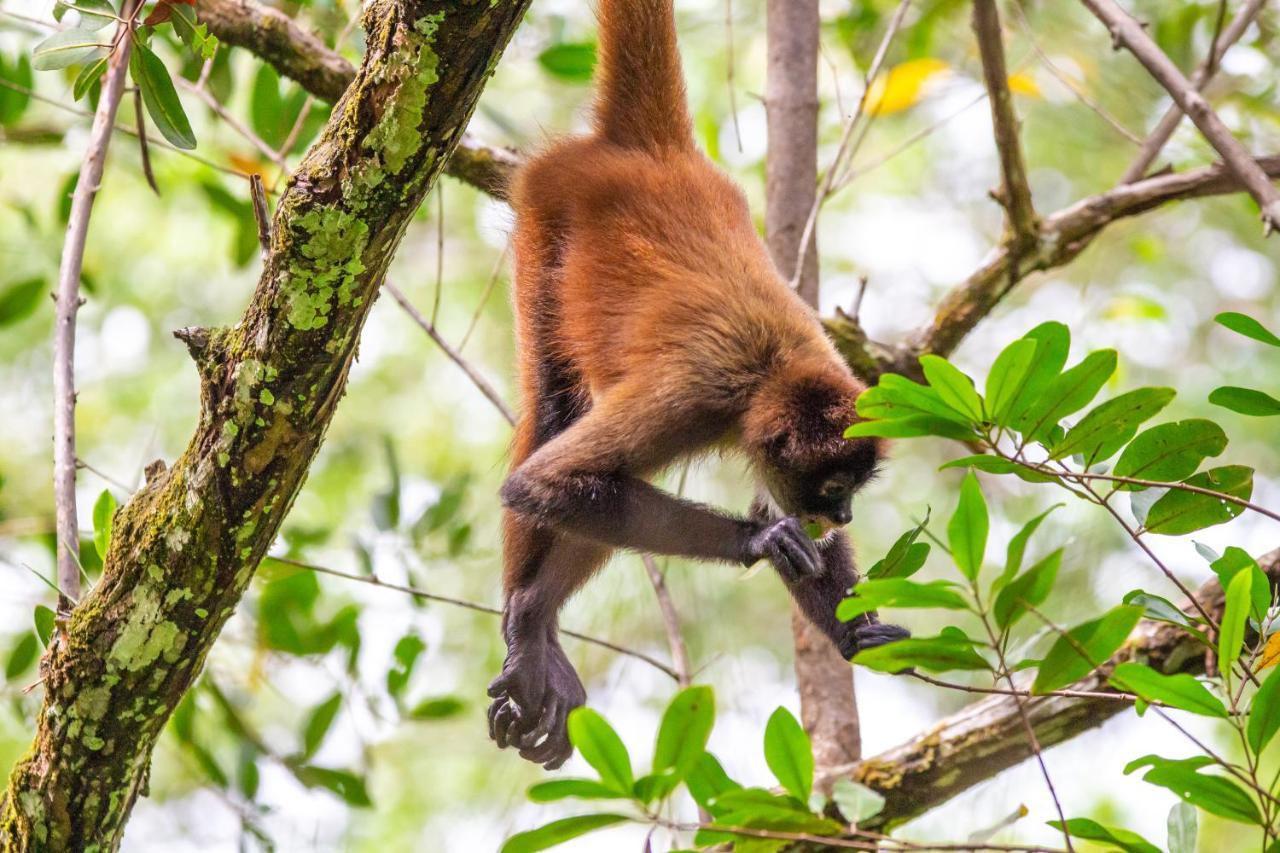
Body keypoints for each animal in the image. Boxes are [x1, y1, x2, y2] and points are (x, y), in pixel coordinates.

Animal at [483, 0, 906, 763]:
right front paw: (761, 542)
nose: (844, 517)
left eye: (854, 491)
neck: (773, 368)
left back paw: (533, 619)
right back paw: (528, 622)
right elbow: (544, 482)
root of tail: (655, 152)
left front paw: (850, 631)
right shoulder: (694, 395)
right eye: (835, 488)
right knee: (555, 416)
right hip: (545, 216)